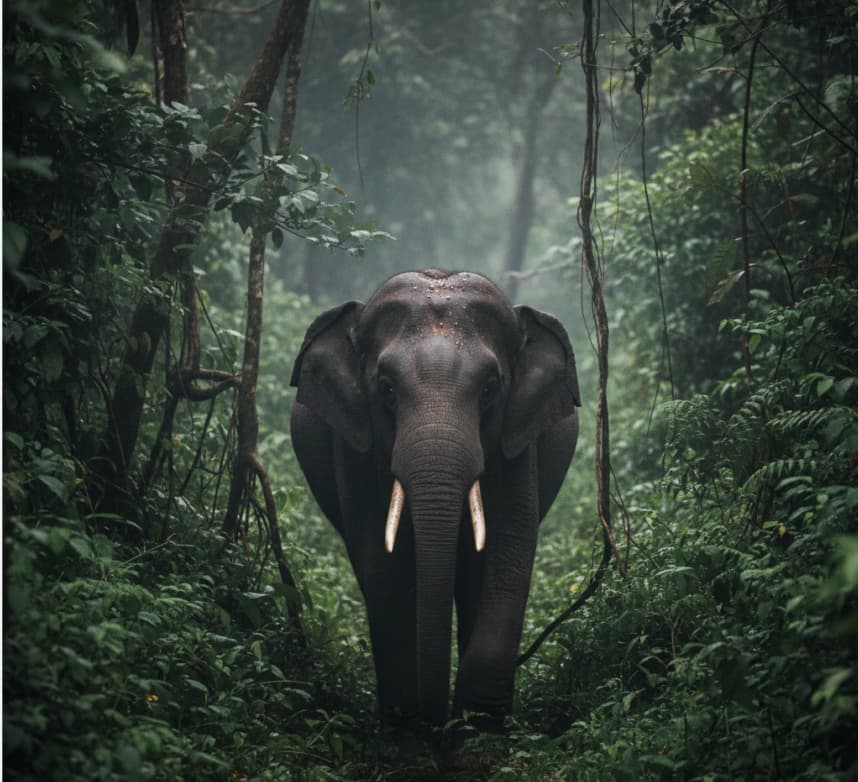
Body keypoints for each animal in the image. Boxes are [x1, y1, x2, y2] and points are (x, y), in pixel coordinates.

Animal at [289, 268, 580, 726]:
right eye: (386, 389)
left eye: (490, 389)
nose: (438, 718)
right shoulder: (354, 446)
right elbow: (383, 565)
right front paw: (408, 722)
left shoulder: (517, 441)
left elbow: (508, 555)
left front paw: (477, 725)